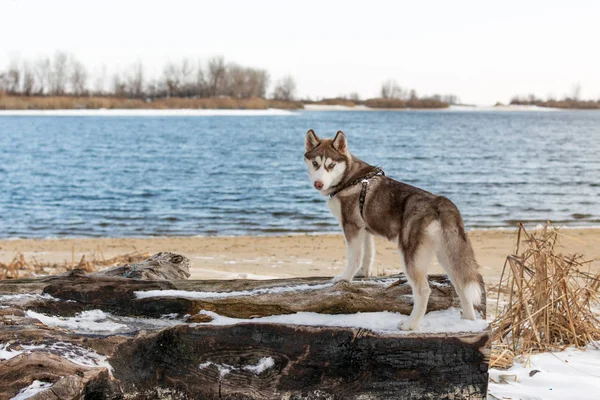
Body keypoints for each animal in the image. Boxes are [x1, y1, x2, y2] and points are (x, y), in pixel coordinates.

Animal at [304, 130, 482, 330]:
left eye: (331, 165)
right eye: (316, 164)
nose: (318, 183)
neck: (349, 179)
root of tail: (440, 202)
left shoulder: (351, 226)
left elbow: (354, 257)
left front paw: (345, 278)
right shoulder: (364, 228)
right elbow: (368, 254)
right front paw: (363, 273)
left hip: (411, 255)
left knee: (423, 290)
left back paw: (411, 324)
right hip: (447, 254)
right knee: (460, 285)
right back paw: (468, 320)